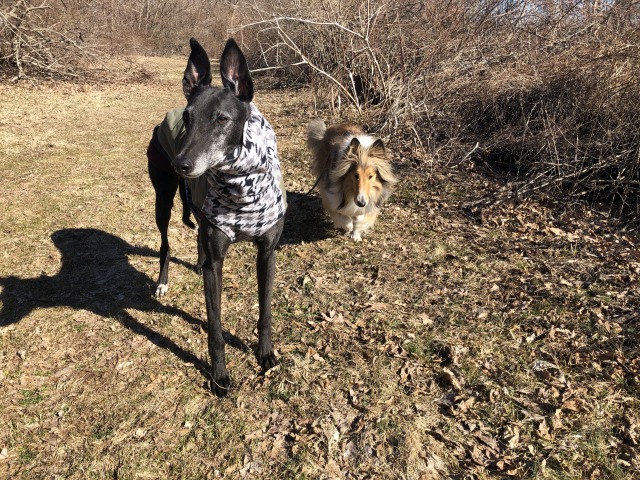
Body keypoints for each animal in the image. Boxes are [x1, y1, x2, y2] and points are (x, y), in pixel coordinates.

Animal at [148, 39, 288, 396]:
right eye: (188, 117)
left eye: (222, 119)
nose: (181, 164)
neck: (240, 183)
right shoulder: (217, 263)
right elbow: (214, 328)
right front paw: (219, 376)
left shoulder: (268, 252)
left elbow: (265, 311)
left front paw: (265, 354)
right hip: (162, 199)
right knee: (166, 243)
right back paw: (163, 282)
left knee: (198, 232)